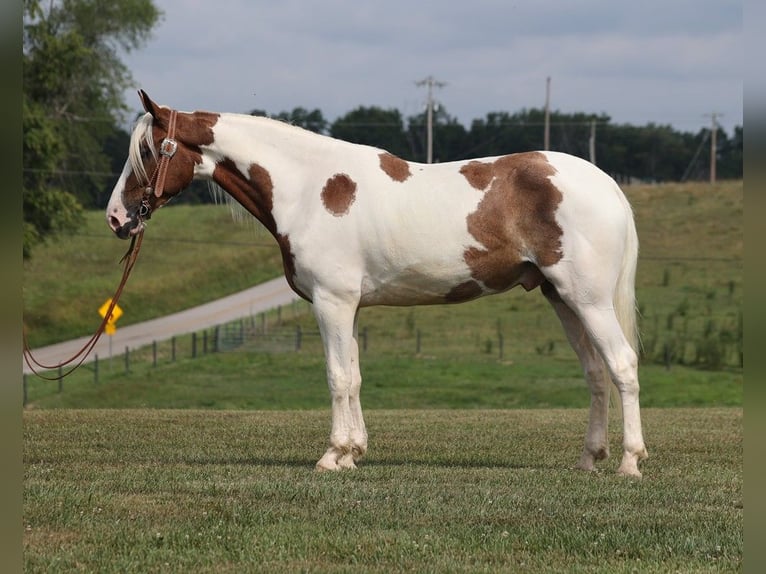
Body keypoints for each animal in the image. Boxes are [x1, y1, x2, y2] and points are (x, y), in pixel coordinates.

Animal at [106, 91, 648, 477]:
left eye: (149, 151)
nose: (116, 218)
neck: (309, 188)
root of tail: (609, 185)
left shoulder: (331, 303)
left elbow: (336, 377)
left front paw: (332, 455)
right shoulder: (350, 306)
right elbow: (355, 376)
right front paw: (353, 452)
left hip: (588, 299)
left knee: (622, 365)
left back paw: (629, 462)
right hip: (563, 299)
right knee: (596, 373)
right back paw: (588, 459)